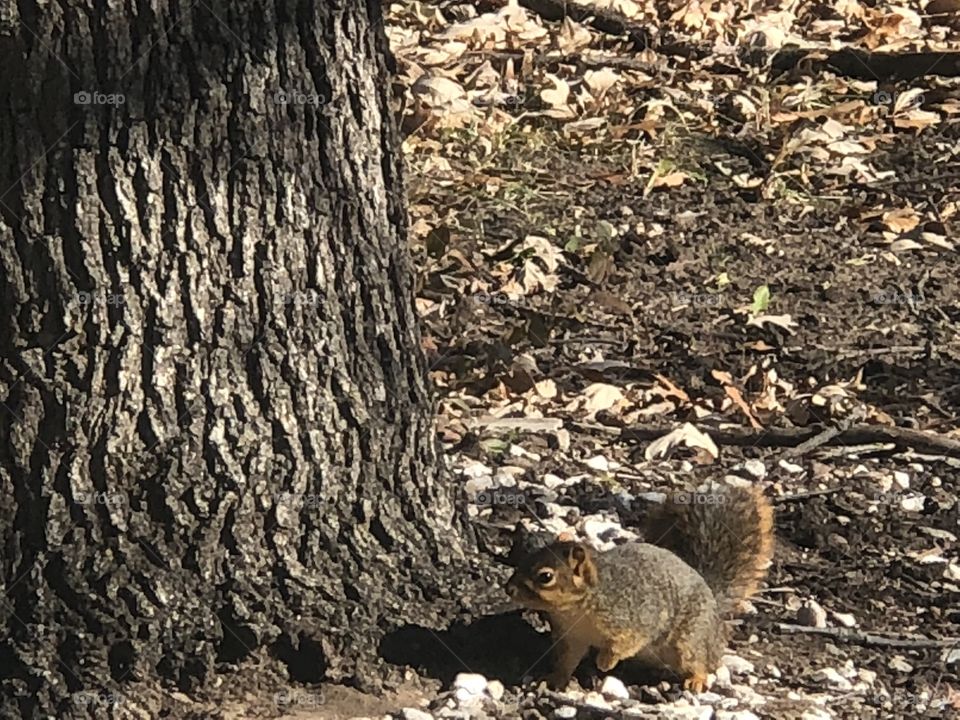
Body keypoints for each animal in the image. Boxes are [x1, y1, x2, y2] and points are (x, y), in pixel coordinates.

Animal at [502, 484, 772, 692]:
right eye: (527, 557)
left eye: (545, 576)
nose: (508, 589)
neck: (580, 607)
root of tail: (714, 602)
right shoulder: (573, 637)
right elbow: (567, 660)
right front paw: (555, 679)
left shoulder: (635, 618)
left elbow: (625, 643)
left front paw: (605, 662)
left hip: (691, 638)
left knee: (701, 661)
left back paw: (696, 680)